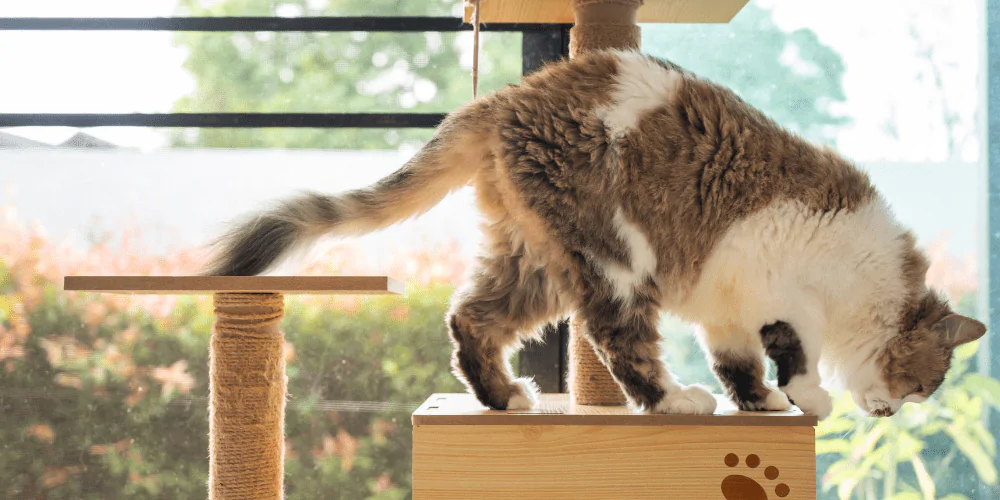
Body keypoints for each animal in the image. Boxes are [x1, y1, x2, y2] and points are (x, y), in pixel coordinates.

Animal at [203, 50, 984, 420]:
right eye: (923, 384)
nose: (894, 412)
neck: (871, 273)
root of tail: (508, 96)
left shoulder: (729, 306)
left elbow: (739, 363)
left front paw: (758, 403)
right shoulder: (783, 294)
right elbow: (793, 356)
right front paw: (806, 398)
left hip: (537, 261)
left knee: (467, 317)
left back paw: (504, 397)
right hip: (616, 261)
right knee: (621, 343)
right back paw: (669, 400)